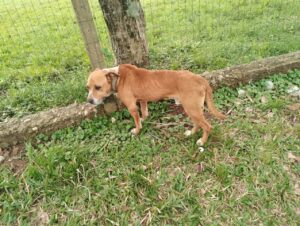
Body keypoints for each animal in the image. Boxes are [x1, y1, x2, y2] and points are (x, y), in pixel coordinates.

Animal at [86, 63, 225, 147]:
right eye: (88, 87)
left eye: (98, 87)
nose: (89, 101)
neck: (118, 77)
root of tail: (200, 79)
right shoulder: (142, 100)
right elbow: (144, 113)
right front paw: (143, 119)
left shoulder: (132, 107)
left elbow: (136, 122)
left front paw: (137, 130)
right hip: (193, 109)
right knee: (197, 123)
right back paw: (191, 133)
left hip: (192, 109)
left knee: (207, 126)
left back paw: (202, 141)